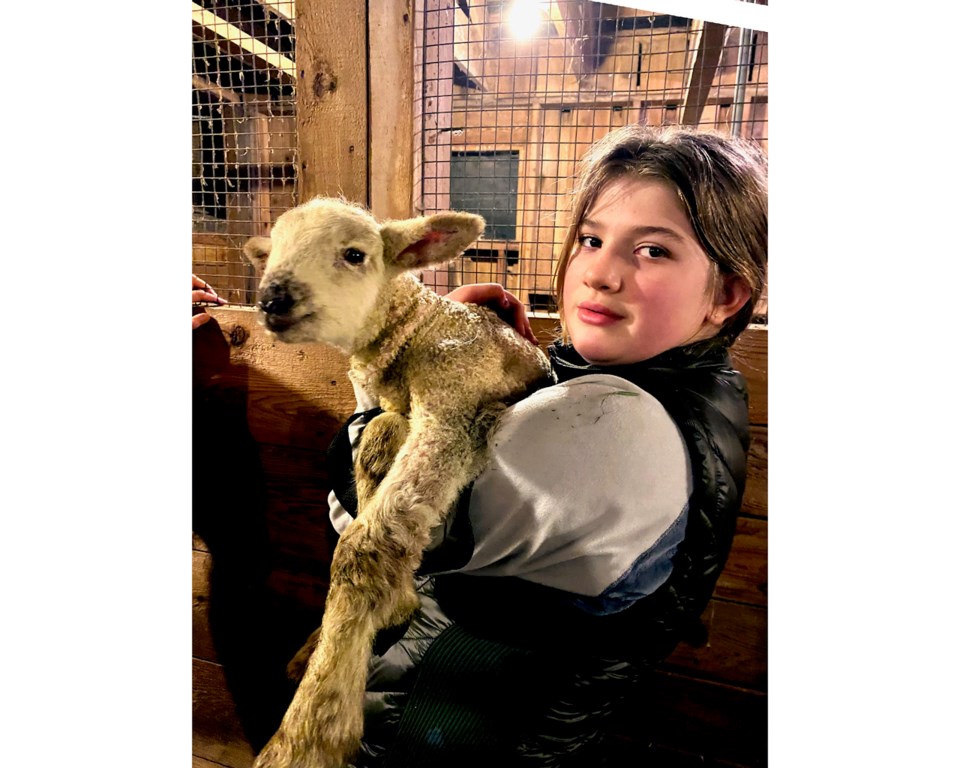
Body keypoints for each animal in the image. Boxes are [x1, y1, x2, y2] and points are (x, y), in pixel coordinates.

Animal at [242, 198, 556, 768]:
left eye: (355, 254)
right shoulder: (390, 408)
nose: (272, 299)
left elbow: (364, 544)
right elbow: (375, 444)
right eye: (272, 252)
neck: (416, 329)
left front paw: (309, 734)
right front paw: (388, 604)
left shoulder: (454, 402)